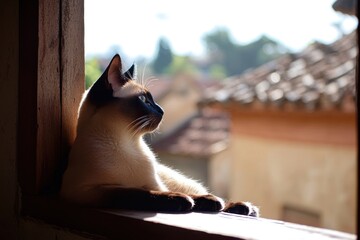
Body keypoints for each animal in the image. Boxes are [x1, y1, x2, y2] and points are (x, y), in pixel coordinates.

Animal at [61, 54, 258, 216]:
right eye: (144, 100)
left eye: (152, 99)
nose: (162, 110)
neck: (128, 142)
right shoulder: (91, 191)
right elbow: (137, 193)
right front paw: (181, 201)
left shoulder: (155, 184)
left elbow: (191, 195)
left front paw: (206, 201)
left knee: (206, 194)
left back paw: (244, 208)